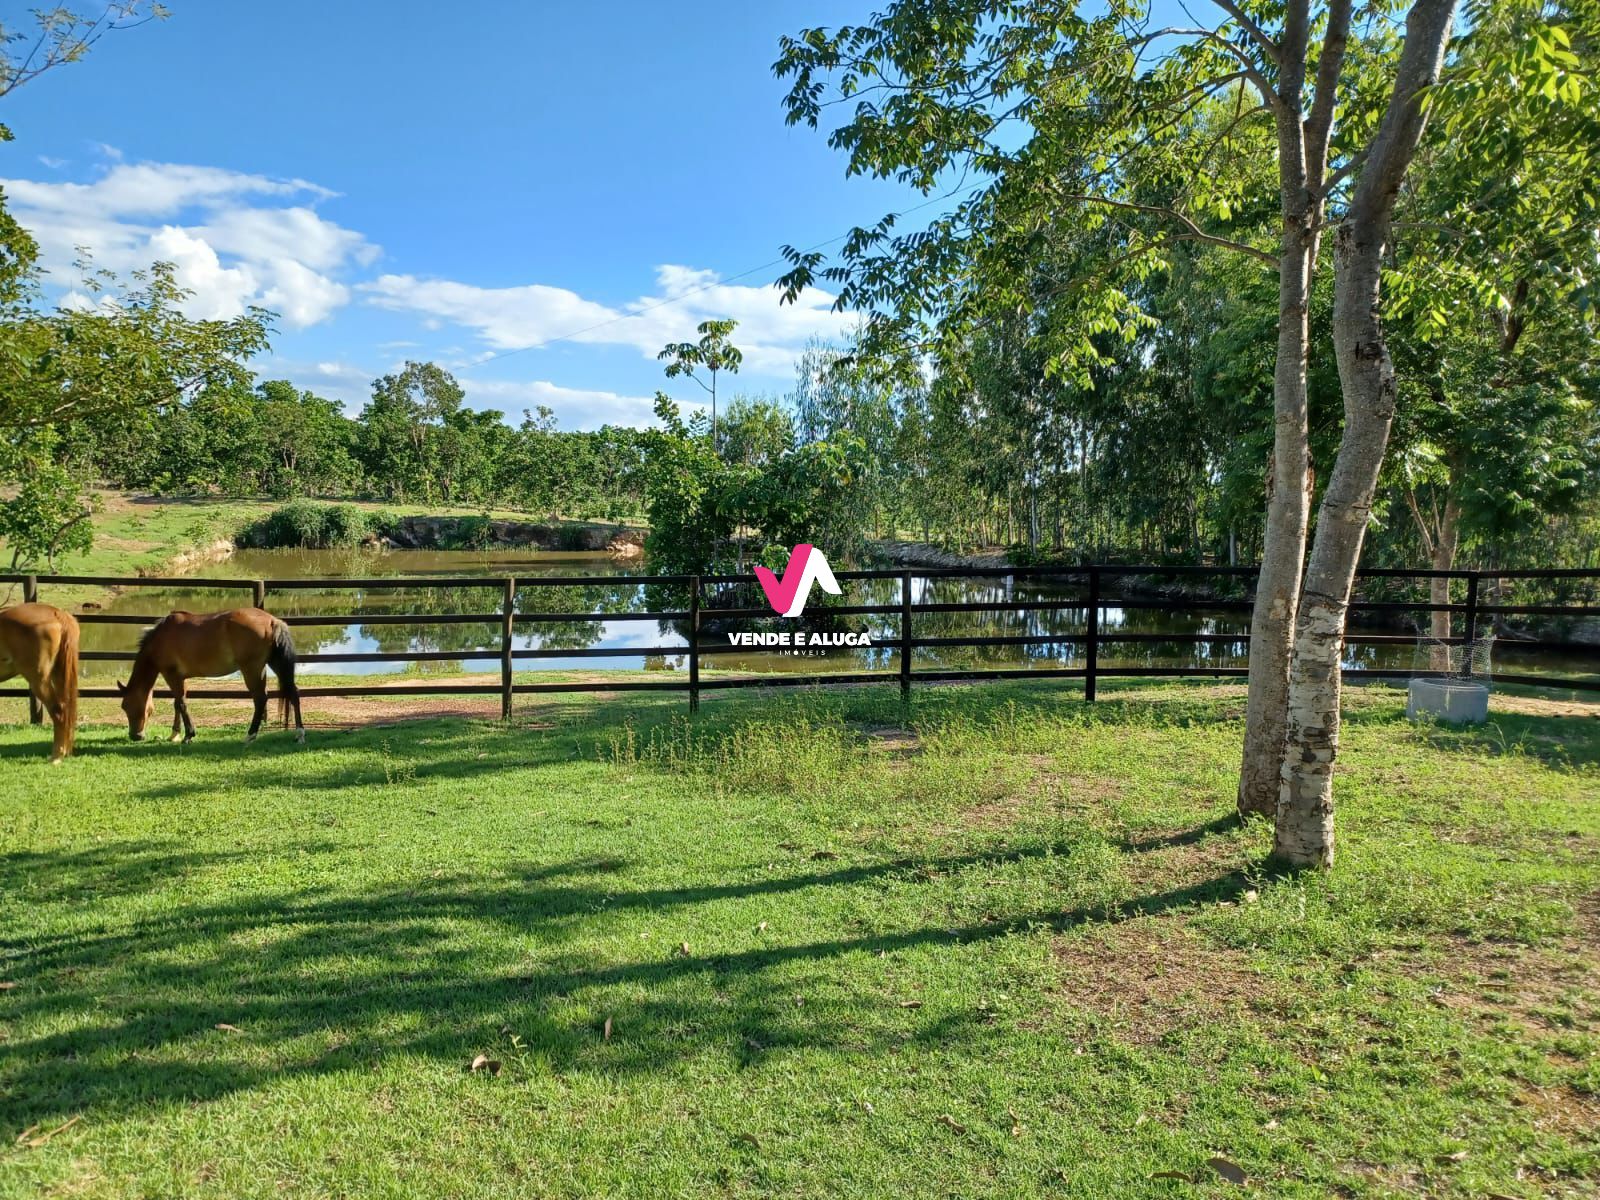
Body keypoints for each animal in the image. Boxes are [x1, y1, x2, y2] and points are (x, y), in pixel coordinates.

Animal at [120, 611, 304, 742]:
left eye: (126, 706)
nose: (135, 736)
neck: (161, 639)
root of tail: (273, 621)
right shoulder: (181, 678)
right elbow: (177, 704)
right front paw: (174, 734)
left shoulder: (171, 675)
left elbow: (181, 703)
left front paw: (188, 735)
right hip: (274, 664)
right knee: (293, 692)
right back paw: (299, 734)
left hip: (252, 669)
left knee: (260, 699)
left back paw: (250, 735)